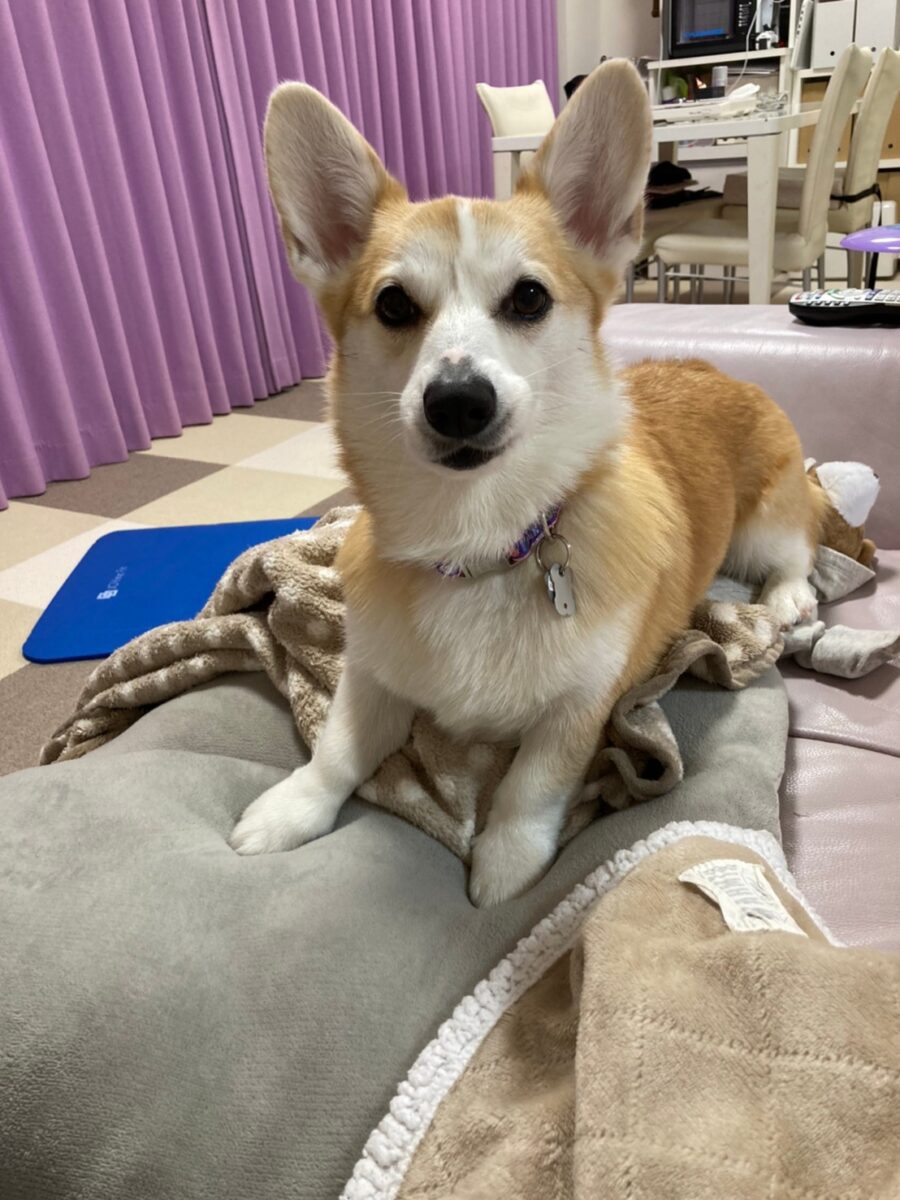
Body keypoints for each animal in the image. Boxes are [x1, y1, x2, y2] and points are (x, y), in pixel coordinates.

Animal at [229, 62, 824, 906]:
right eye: (393, 305)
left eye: (530, 298)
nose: (457, 401)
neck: (479, 543)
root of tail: (712, 366)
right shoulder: (370, 678)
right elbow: (338, 751)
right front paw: (290, 810)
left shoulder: (583, 706)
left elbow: (531, 784)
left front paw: (506, 864)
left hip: (768, 518)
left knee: (797, 551)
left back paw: (789, 598)